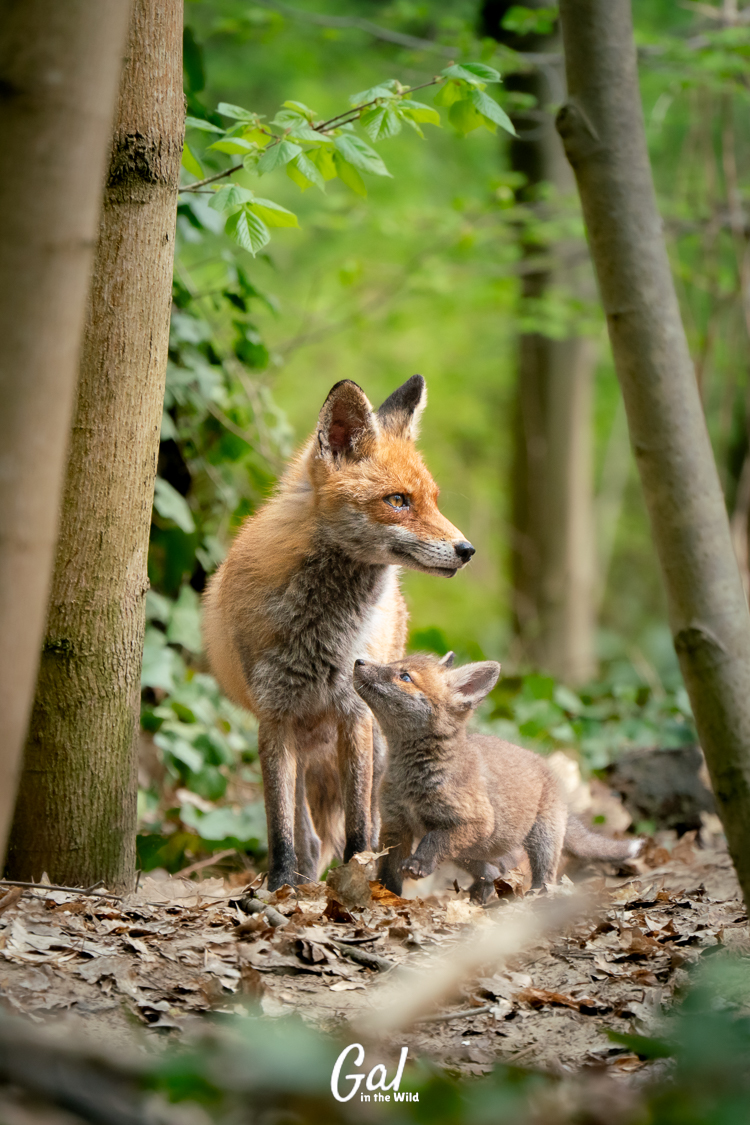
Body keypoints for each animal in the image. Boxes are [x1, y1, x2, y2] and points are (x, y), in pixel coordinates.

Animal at [202, 376, 475, 891]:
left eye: (433, 500)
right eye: (398, 501)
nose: (467, 550)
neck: (321, 633)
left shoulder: (354, 712)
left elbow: (357, 825)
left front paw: (357, 876)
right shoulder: (275, 718)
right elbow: (280, 828)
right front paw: (280, 886)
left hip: (377, 742)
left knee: (374, 816)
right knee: (307, 833)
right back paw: (304, 875)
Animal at [353, 652, 643, 902]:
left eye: (405, 676)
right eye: (393, 663)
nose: (358, 661)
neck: (411, 781)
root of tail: (546, 765)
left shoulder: (476, 822)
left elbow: (432, 840)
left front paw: (417, 864)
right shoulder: (395, 825)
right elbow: (388, 872)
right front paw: (385, 897)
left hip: (540, 839)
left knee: (544, 876)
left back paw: (534, 899)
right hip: (469, 854)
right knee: (494, 872)